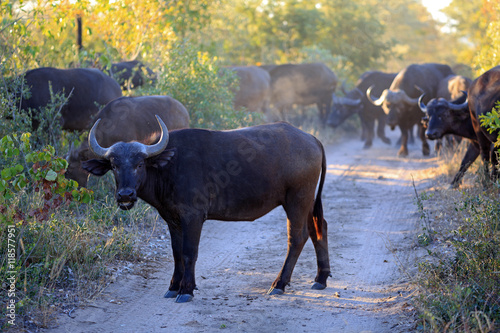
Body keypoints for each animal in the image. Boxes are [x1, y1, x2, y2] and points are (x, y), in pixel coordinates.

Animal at [82, 118, 332, 302]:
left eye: (139, 164)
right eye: (114, 165)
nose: (125, 195)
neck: (169, 167)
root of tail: (312, 139)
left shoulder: (192, 217)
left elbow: (189, 252)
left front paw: (186, 290)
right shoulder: (172, 219)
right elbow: (176, 253)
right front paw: (173, 286)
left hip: (297, 199)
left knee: (297, 238)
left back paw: (279, 283)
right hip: (307, 202)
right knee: (318, 228)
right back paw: (320, 278)